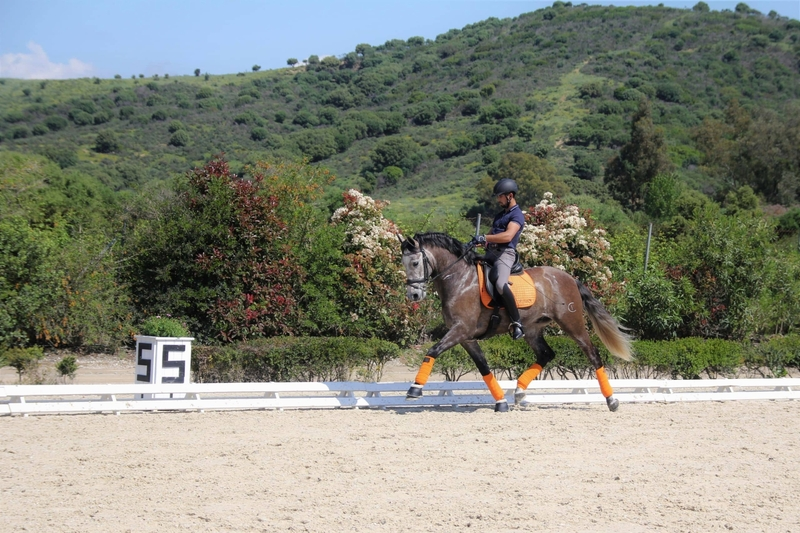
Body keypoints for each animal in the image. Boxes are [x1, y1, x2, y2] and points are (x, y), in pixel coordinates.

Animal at [399, 232, 633, 412]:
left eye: (415, 262)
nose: (413, 295)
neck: (460, 280)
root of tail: (570, 278)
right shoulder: (466, 337)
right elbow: (483, 366)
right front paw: (501, 402)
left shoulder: (460, 330)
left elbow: (433, 350)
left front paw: (415, 388)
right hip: (532, 329)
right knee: (546, 354)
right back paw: (519, 391)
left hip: (571, 323)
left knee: (593, 354)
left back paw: (612, 400)